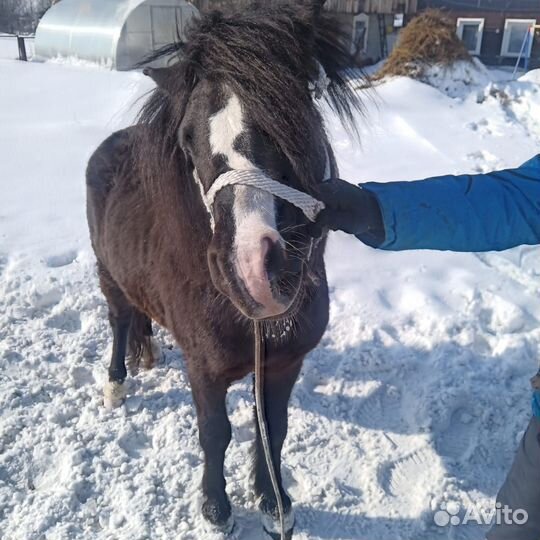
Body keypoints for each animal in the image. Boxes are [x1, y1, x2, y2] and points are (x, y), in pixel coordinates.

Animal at [85, 3, 362, 536]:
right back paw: (115, 383)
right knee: (120, 319)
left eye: (292, 115)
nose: (253, 270)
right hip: (108, 275)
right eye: (187, 139)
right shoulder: (204, 370)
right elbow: (215, 434)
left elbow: (273, 428)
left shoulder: (284, 364)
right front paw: (216, 509)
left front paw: (274, 502)